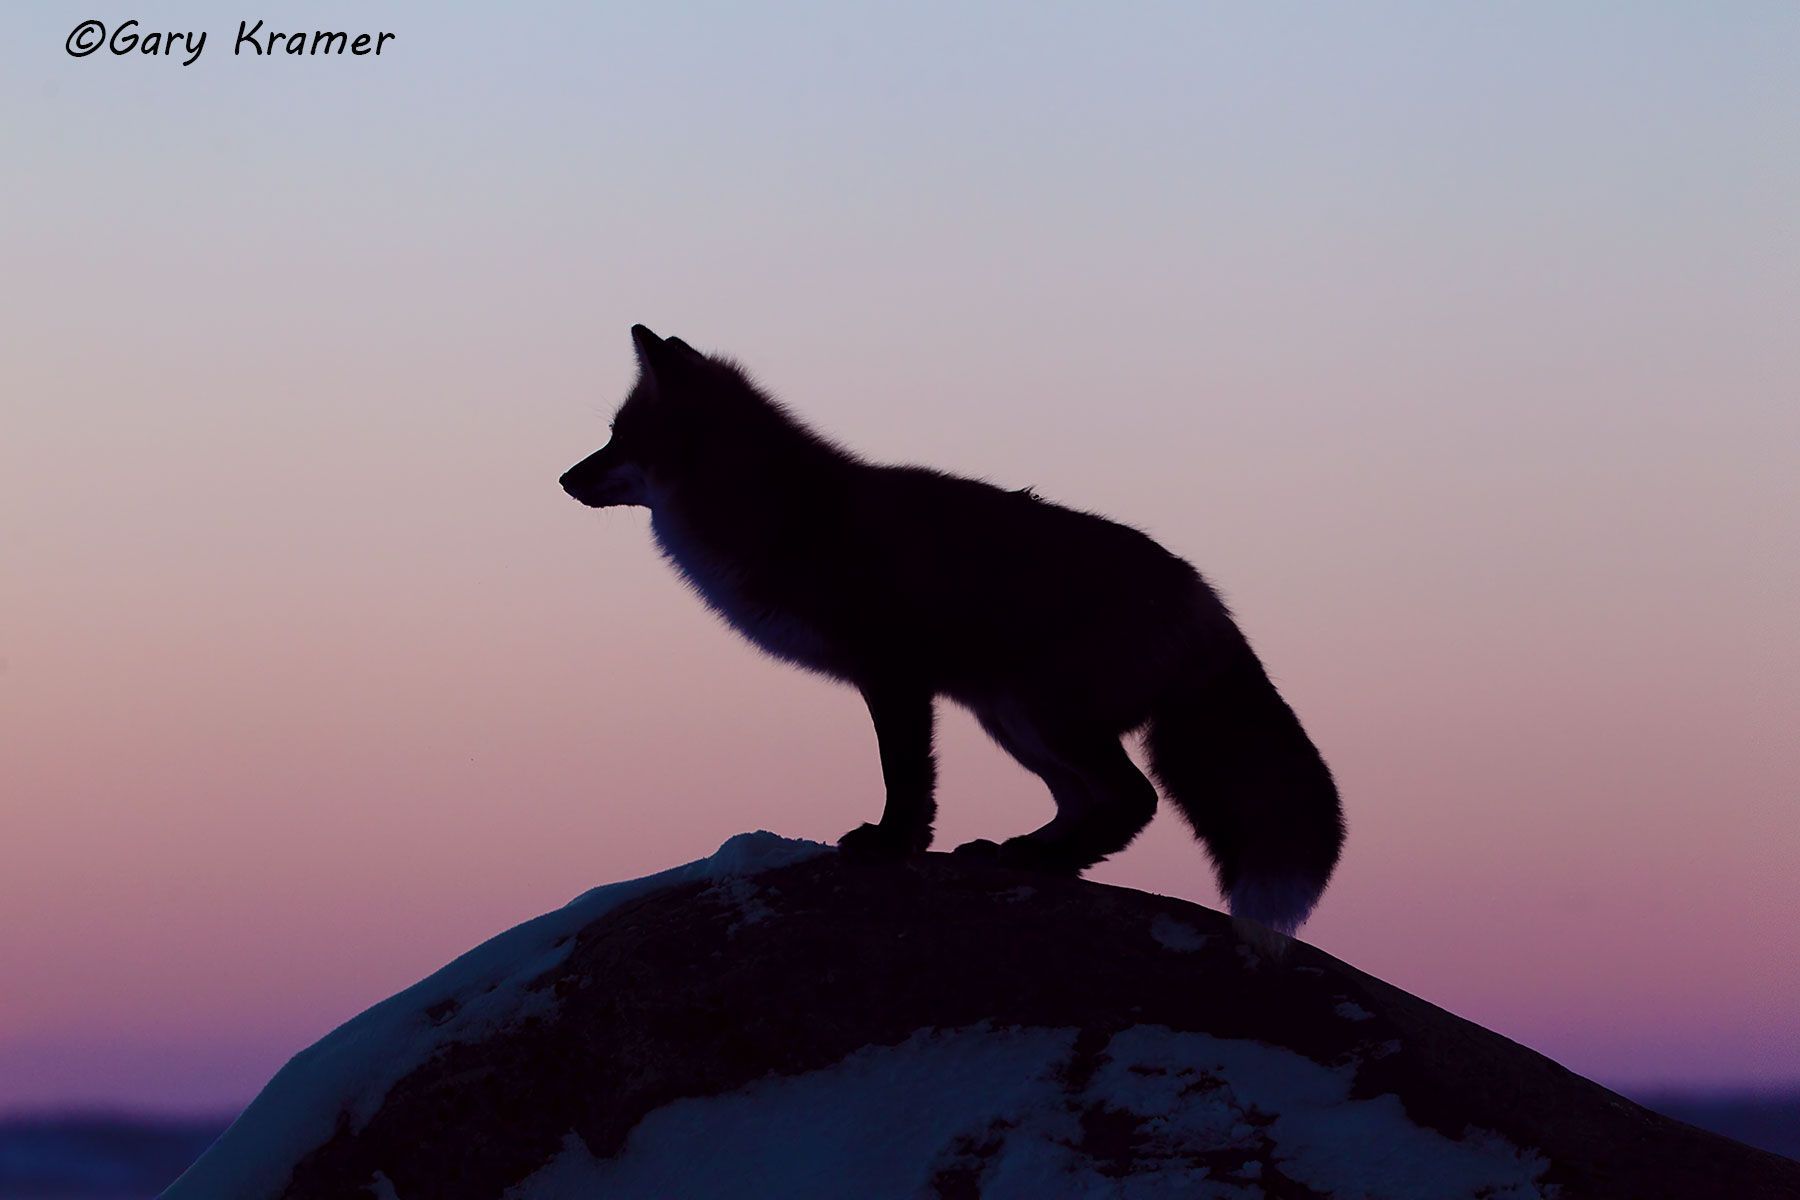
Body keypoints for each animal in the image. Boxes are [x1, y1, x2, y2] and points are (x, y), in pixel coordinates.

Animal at [561, 326, 1345, 934]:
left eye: (617, 438)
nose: (564, 479)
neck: (775, 514)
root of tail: (1203, 595)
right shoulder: (909, 687)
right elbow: (916, 784)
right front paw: (909, 845)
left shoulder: (894, 676)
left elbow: (904, 776)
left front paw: (887, 845)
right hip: (1012, 722)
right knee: (1088, 800)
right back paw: (1023, 853)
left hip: (1040, 713)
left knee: (1134, 799)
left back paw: (1041, 859)